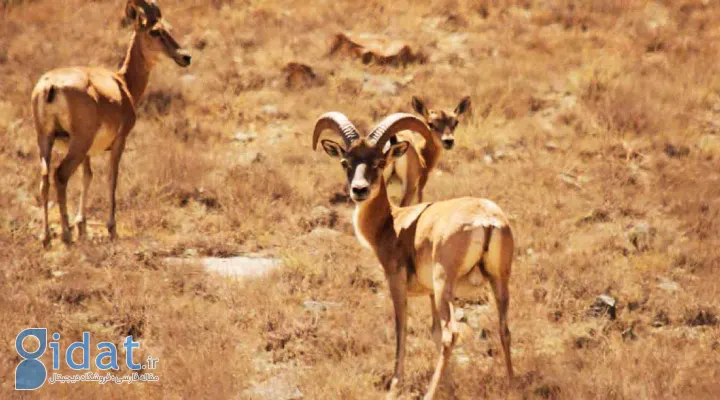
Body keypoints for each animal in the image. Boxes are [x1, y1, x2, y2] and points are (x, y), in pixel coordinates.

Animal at [312, 111, 516, 400]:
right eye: (345, 162)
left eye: (380, 161)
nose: (359, 190)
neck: (392, 223)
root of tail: (486, 220)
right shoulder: (429, 294)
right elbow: (433, 333)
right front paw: (449, 385)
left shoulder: (397, 284)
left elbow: (402, 330)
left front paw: (395, 385)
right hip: (499, 280)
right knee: (503, 328)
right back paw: (511, 384)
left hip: (445, 285)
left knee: (451, 333)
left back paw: (429, 394)